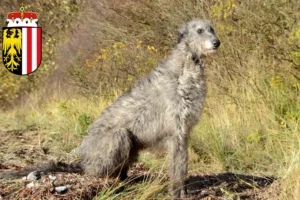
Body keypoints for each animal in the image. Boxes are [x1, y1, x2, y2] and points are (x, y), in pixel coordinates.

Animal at [0, 18, 220, 198]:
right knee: (100, 170)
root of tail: (84, 161)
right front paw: (177, 193)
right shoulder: (176, 133)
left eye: (212, 29)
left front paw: (183, 191)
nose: (217, 42)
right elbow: (177, 168)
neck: (185, 67)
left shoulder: (184, 133)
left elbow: (183, 166)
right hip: (118, 136)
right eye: (200, 30)